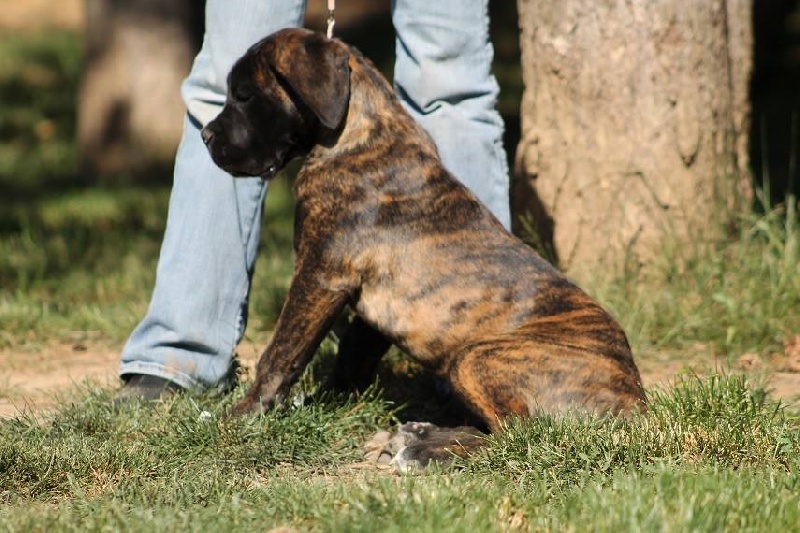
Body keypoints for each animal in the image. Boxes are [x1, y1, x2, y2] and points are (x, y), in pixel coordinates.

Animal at [203, 28, 648, 466]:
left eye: (244, 95)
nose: (206, 135)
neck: (359, 134)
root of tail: (637, 403)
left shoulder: (321, 275)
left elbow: (280, 354)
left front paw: (241, 418)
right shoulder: (368, 306)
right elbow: (352, 356)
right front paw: (332, 403)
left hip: (476, 356)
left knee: (520, 437)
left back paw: (425, 449)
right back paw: (419, 433)